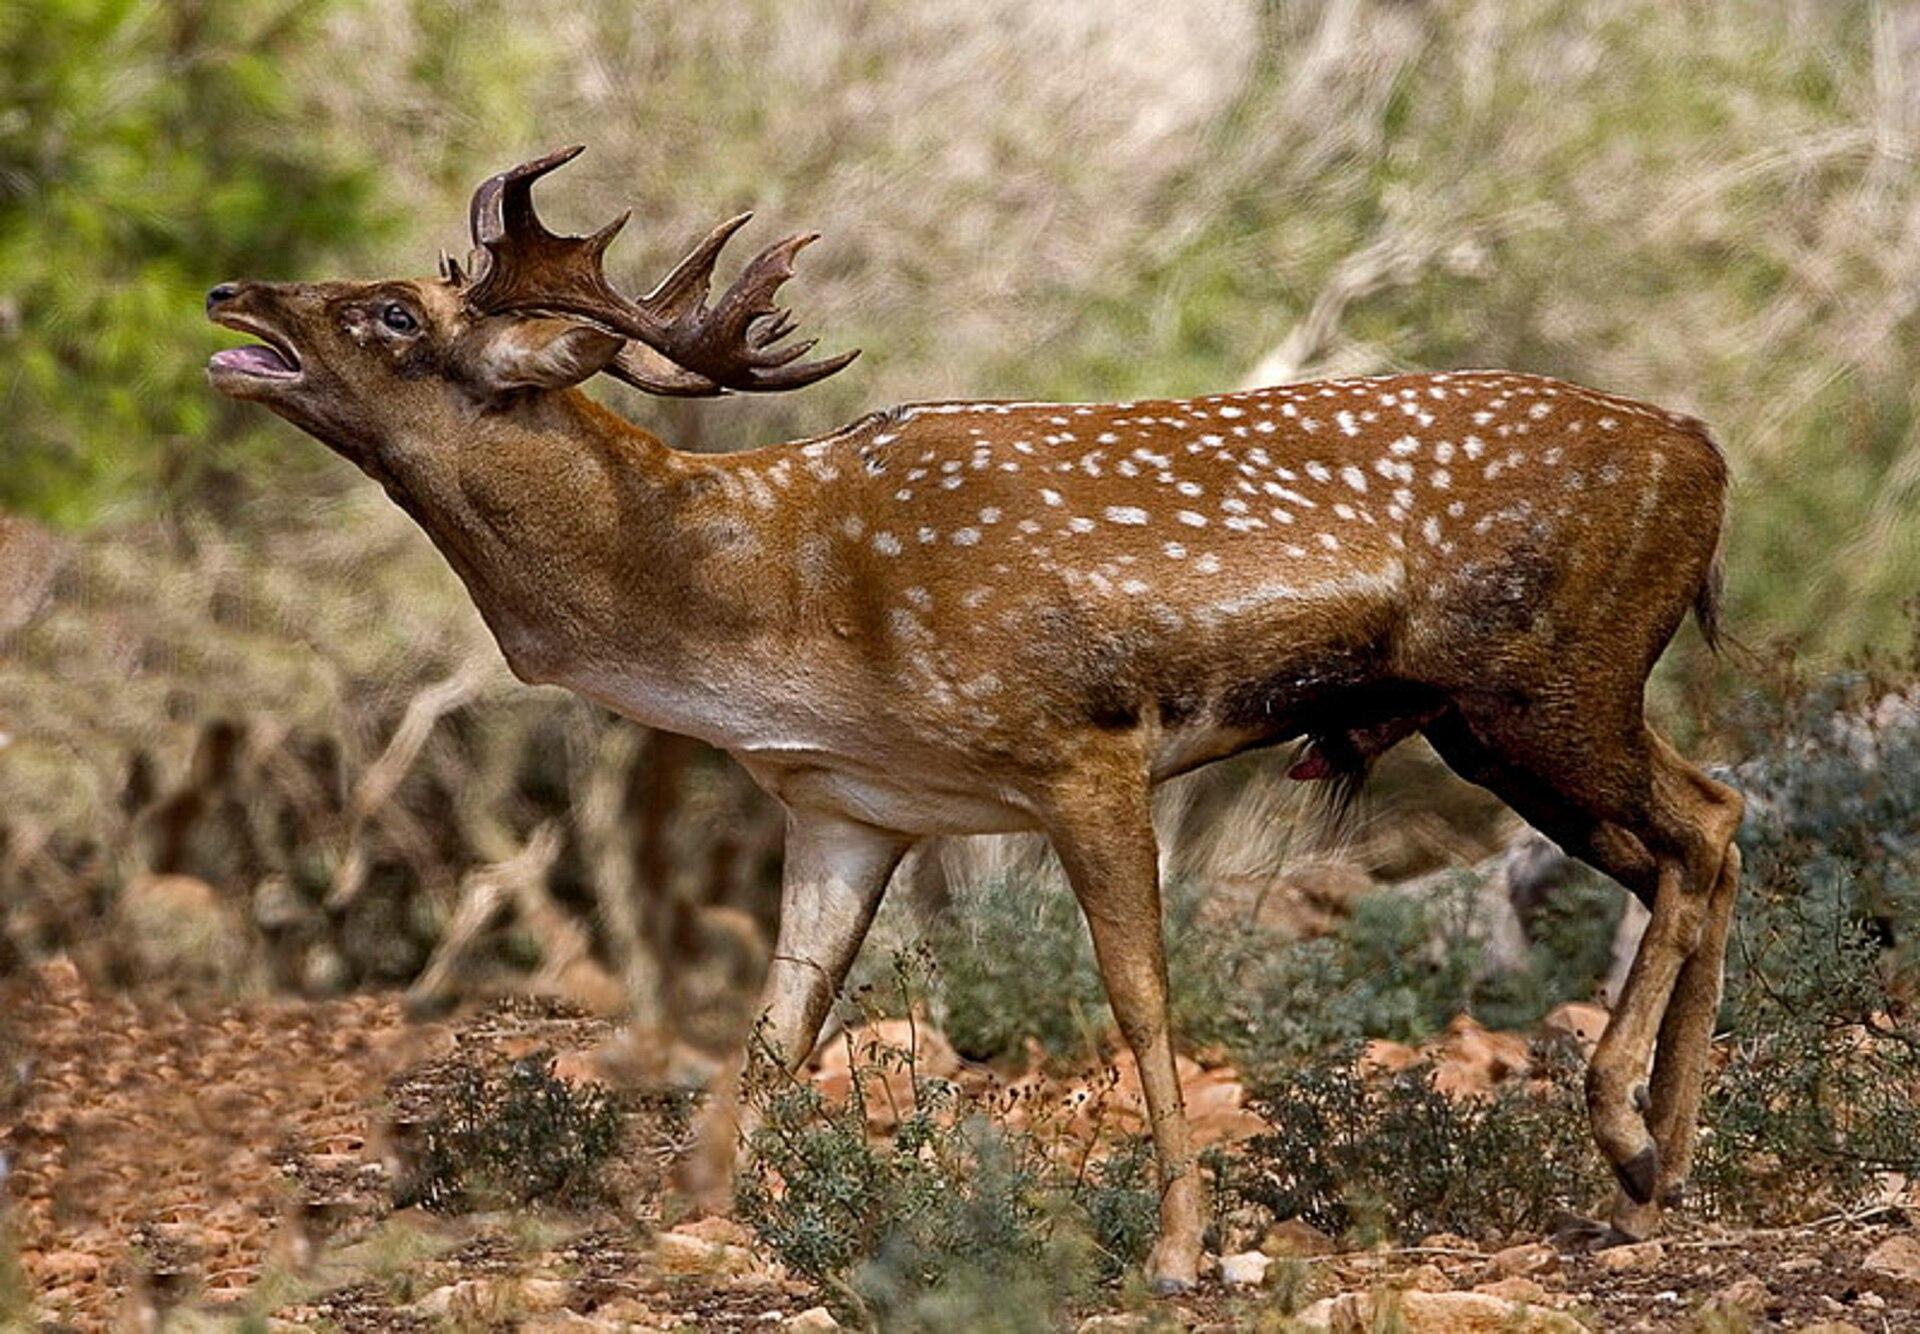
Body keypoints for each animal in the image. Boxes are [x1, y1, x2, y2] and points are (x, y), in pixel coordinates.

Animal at [206, 146, 1742, 1290]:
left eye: (395, 315)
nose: (232, 297)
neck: (771, 605)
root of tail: (1708, 454)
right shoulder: (846, 806)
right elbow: (780, 1028)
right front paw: (710, 1218)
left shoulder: (1085, 744)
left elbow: (1139, 997)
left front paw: (1179, 1248)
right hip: (1508, 712)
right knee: (1714, 820)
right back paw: (1657, 1172)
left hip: (1543, 687)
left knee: (1701, 825)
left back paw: (1628, 1138)